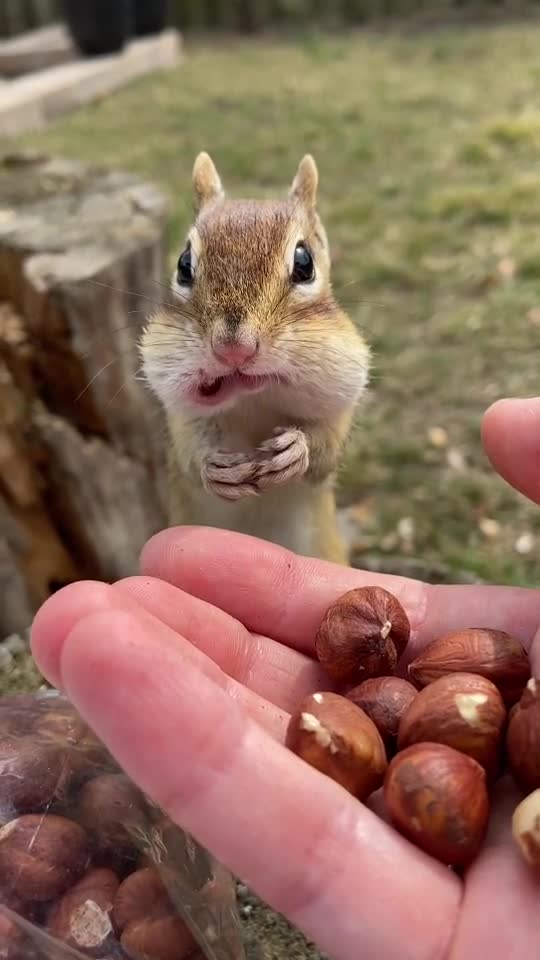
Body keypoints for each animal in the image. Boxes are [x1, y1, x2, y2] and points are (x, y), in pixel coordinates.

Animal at [141, 153, 371, 565]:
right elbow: (188, 454)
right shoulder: (178, 412)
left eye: (304, 262)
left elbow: (326, 450)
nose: (235, 349)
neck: (255, 399)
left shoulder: (342, 397)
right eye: (183, 263)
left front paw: (297, 450)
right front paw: (212, 467)